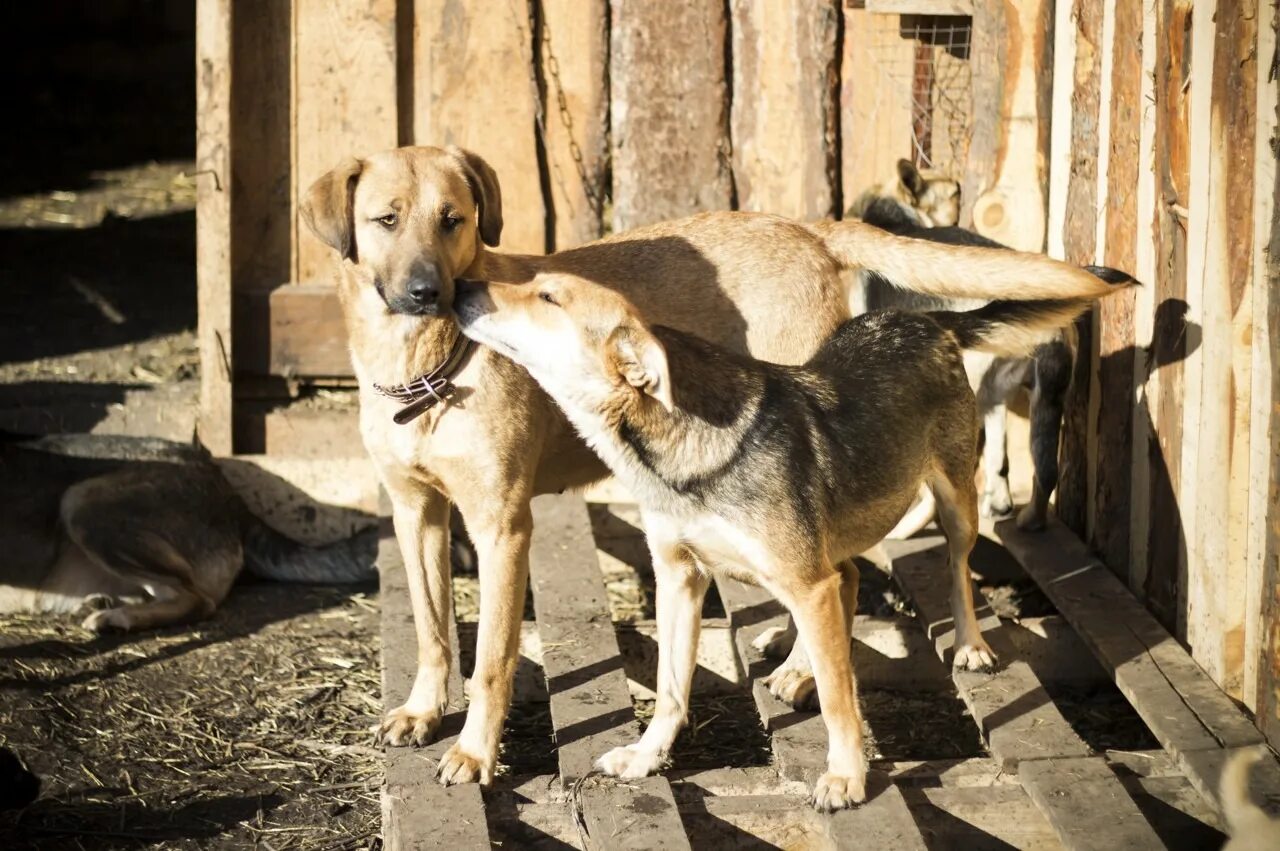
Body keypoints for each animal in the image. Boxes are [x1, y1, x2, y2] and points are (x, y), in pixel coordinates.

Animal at [458, 268, 1131, 808]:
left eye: (547, 296)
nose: (460, 285)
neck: (679, 448)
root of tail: (922, 318)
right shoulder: (680, 576)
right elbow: (673, 689)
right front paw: (647, 756)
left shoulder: (806, 582)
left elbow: (840, 699)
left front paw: (846, 778)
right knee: (853, 576)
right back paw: (793, 664)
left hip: (953, 498)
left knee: (957, 569)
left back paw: (967, 645)